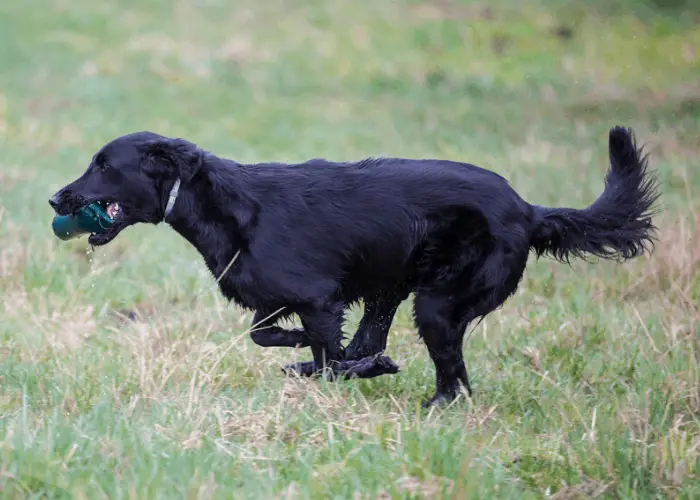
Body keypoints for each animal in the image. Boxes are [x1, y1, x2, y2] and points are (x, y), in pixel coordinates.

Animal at [50, 126, 660, 406]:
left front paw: (328, 362)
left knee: (451, 378)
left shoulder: (319, 299)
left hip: (436, 304)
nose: (56, 198)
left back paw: (417, 396)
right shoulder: (288, 302)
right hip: (396, 289)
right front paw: (302, 353)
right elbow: (266, 335)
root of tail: (529, 211)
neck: (225, 207)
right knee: (403, 352)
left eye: (104, 165)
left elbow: (325, 355)